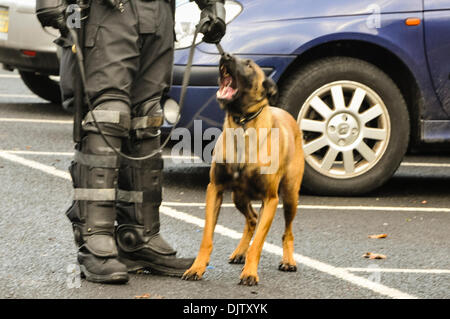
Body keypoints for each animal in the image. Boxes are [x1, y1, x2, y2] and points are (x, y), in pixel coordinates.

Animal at [181, 55, 304, 288]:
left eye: (248, 64)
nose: (225, 55)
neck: (243, 123)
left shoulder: (270, 199)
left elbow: (258, 244)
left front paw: (250, 273)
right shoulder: (215, 189)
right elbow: (207, 237)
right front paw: (197, 268)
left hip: (290, 196)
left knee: (288, 232)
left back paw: (288, 260)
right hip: (238, 196)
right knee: (252, 219)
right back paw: (239, 252)